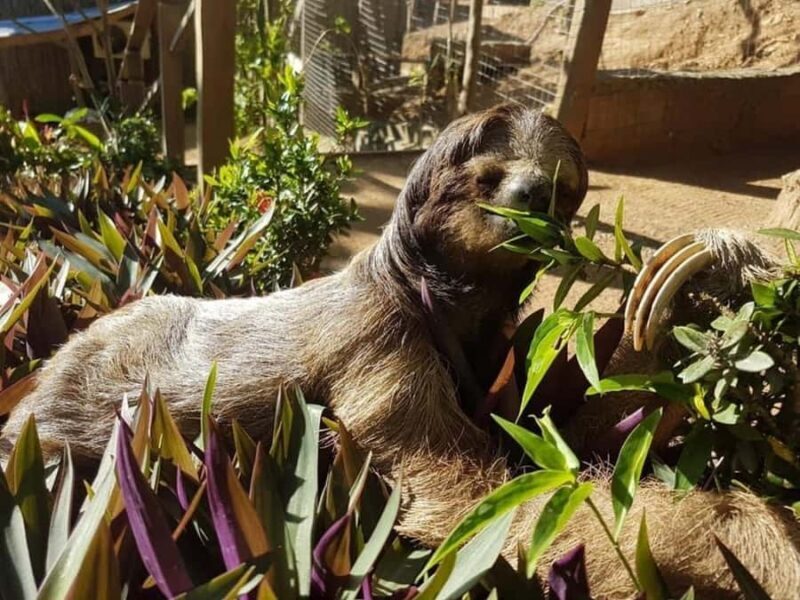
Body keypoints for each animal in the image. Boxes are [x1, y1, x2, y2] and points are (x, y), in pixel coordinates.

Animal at [2, 104, 798, 598]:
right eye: (488, 178)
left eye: (562, 187)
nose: (532, 194)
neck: (439, 298)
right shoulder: (380, 342)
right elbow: (478, 510)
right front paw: (764, 544)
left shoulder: (496, 353)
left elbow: (573, 434)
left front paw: (708, 264)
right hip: (66, 426)